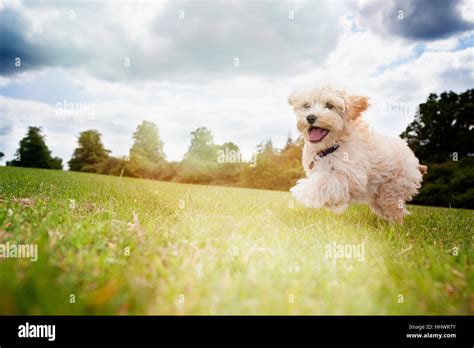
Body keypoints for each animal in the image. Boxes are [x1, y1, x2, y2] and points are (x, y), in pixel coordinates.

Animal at [286, 86, 428, 223]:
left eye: (329, 105)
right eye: (306, 105)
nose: (310, 117)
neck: (331, 147)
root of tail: (415, 163)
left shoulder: (352, 175)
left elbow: (327, 180)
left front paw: (303, 191)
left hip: (392, 191)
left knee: (396, 212)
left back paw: (395, 227)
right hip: (379, 197)